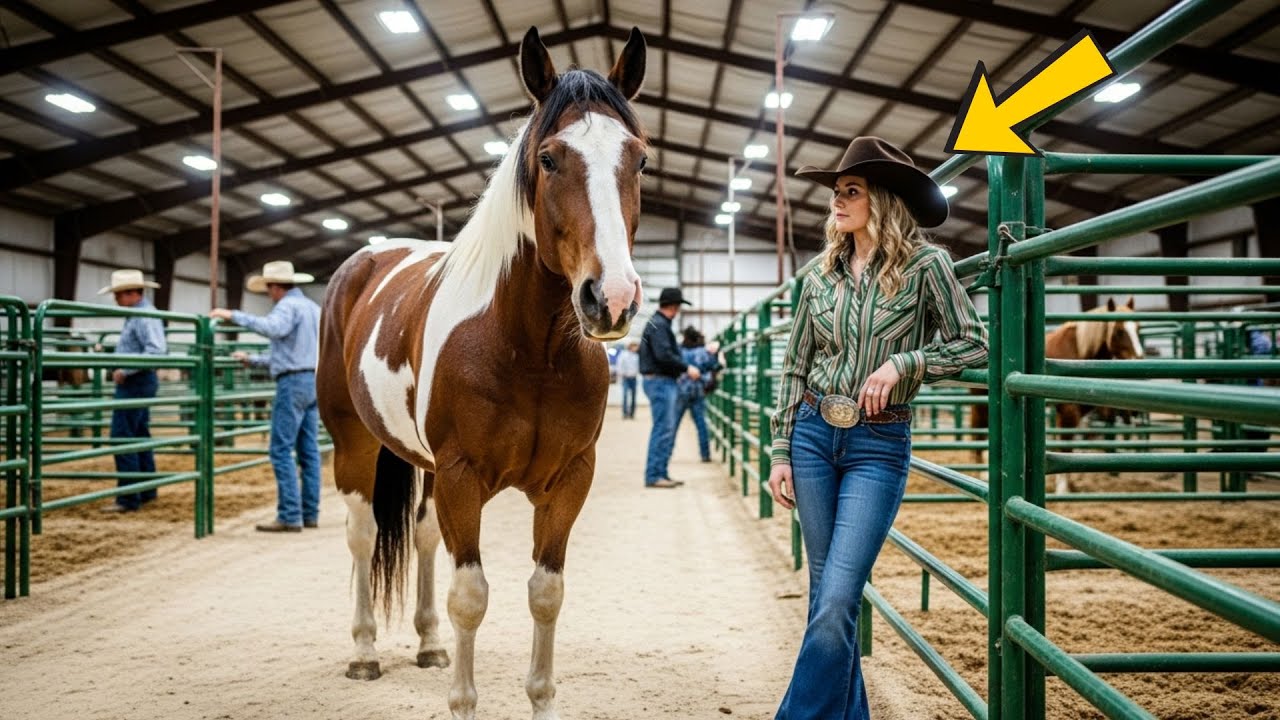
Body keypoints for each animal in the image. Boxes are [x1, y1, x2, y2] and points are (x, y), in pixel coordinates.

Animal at [316, 27, 647, 720]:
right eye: (548, 159)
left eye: (639, 160)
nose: (611, 299)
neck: (529, 349)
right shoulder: (463, 477)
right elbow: (470, 597)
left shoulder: (568, 482)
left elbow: (545, 593)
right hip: (354, 445)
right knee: (363, 536)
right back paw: (363, 652)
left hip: (423, 467)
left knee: (419, 538)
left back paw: (428, 645)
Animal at [970, 297, 1144, 492]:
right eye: (1120, 331)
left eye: (1138, 328)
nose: (1138, 358)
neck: (1078, 351)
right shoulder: (1068, 412)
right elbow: (1065, 447)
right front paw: (1062, 488)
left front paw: (1071, 483)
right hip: (980, 405)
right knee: (978, 434)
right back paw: (982, 475)